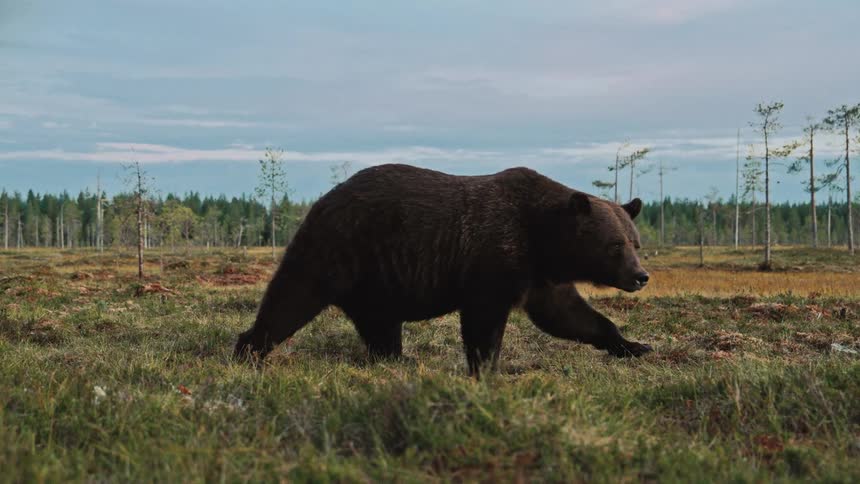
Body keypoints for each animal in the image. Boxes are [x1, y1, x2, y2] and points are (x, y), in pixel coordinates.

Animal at [234, 163, 652, 376]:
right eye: (615, 245)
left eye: (636, 243)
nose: (640, 276)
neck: (542, 239)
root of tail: (322, 200)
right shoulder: (495, 256)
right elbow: (484, 321)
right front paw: (486, 369)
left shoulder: (539, 276)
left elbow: (569, 316)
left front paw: (635, 345)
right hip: (338, 250)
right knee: (292, 297)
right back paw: (248, 350)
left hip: (376, 280)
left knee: (380, 324)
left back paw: (396, 358)